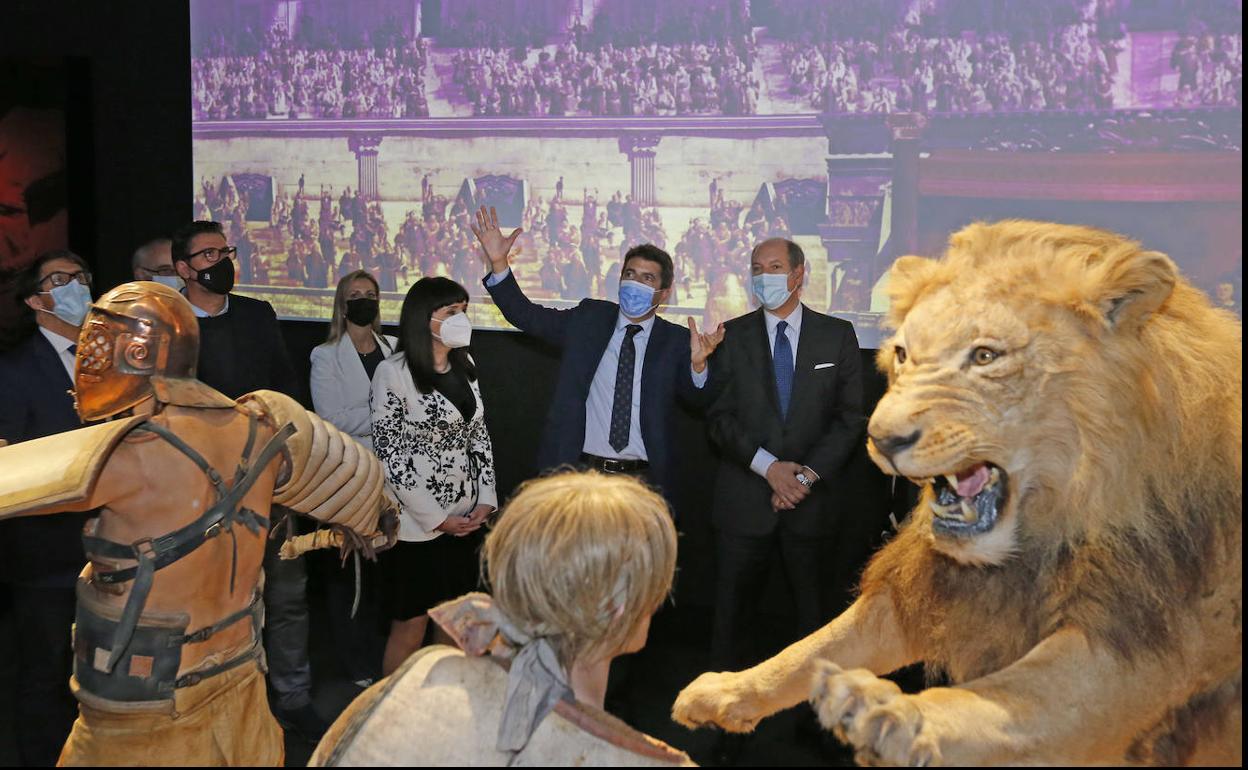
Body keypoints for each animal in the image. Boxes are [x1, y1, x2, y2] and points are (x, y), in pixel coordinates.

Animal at [678, 220, 1243, 763]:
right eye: (903, 354)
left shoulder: (1144, 631)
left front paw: (893, 720)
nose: (881, 439)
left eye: (986, 355)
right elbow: (818, 645)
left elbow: (1022, 695)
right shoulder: (933, 586)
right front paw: (725, 692)